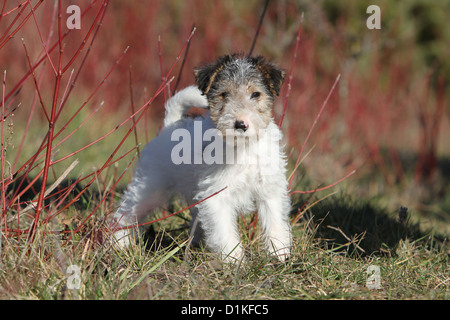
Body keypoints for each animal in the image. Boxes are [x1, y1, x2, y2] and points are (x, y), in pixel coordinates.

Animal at [113, 53, 292, 262]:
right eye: (224, 94)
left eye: (256, 94)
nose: (240, 124)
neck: (243, 148)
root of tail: (169, 126)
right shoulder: (216, 195)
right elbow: (225, 233)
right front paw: (235, 261)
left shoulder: (270, 190)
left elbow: (275, 225)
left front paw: (279, 256)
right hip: (149, 189)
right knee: (125, 213)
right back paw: (118, 243)